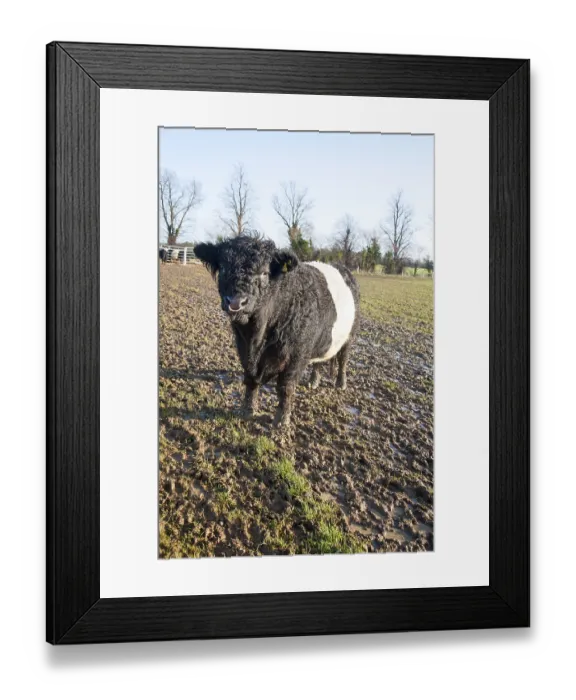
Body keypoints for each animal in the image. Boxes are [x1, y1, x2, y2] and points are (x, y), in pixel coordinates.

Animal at [194, 236, 359, 428]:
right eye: (224, 267)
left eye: (264, 273)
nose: (235, 302)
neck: (257, 336)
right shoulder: (243, 349)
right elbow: (250, 379)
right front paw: (247, 409)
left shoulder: (297, 355)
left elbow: (285, 388)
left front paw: (281, 421)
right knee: (319, 361)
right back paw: (313, 381)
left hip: (350, 335)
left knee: (343, 360)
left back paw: (341, 383)